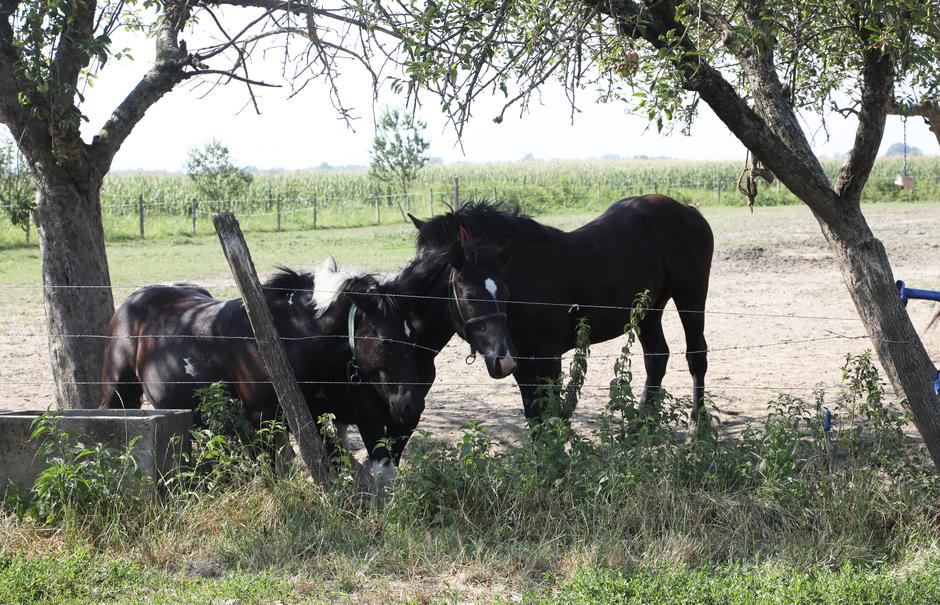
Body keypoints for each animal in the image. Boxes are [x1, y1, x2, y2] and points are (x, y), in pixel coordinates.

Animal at [100, 258, 426, 468]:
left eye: (414, 336)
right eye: (386, 342)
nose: (412, 404)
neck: (284, 334)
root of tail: (130, 302)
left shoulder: (301, 418)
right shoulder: (258, 421)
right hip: (117, 395)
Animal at [410, 196, 712, 422]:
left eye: (441, 260)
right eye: (419, 256)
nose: (414, 284)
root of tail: (687, 210)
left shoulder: (548, 359)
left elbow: (552, 413)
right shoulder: (521, 362)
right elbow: (534, 414)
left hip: (691, 297)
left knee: (696, 356)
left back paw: (698, 424)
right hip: (649, 310)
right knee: (656, 358)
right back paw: (640, 426)